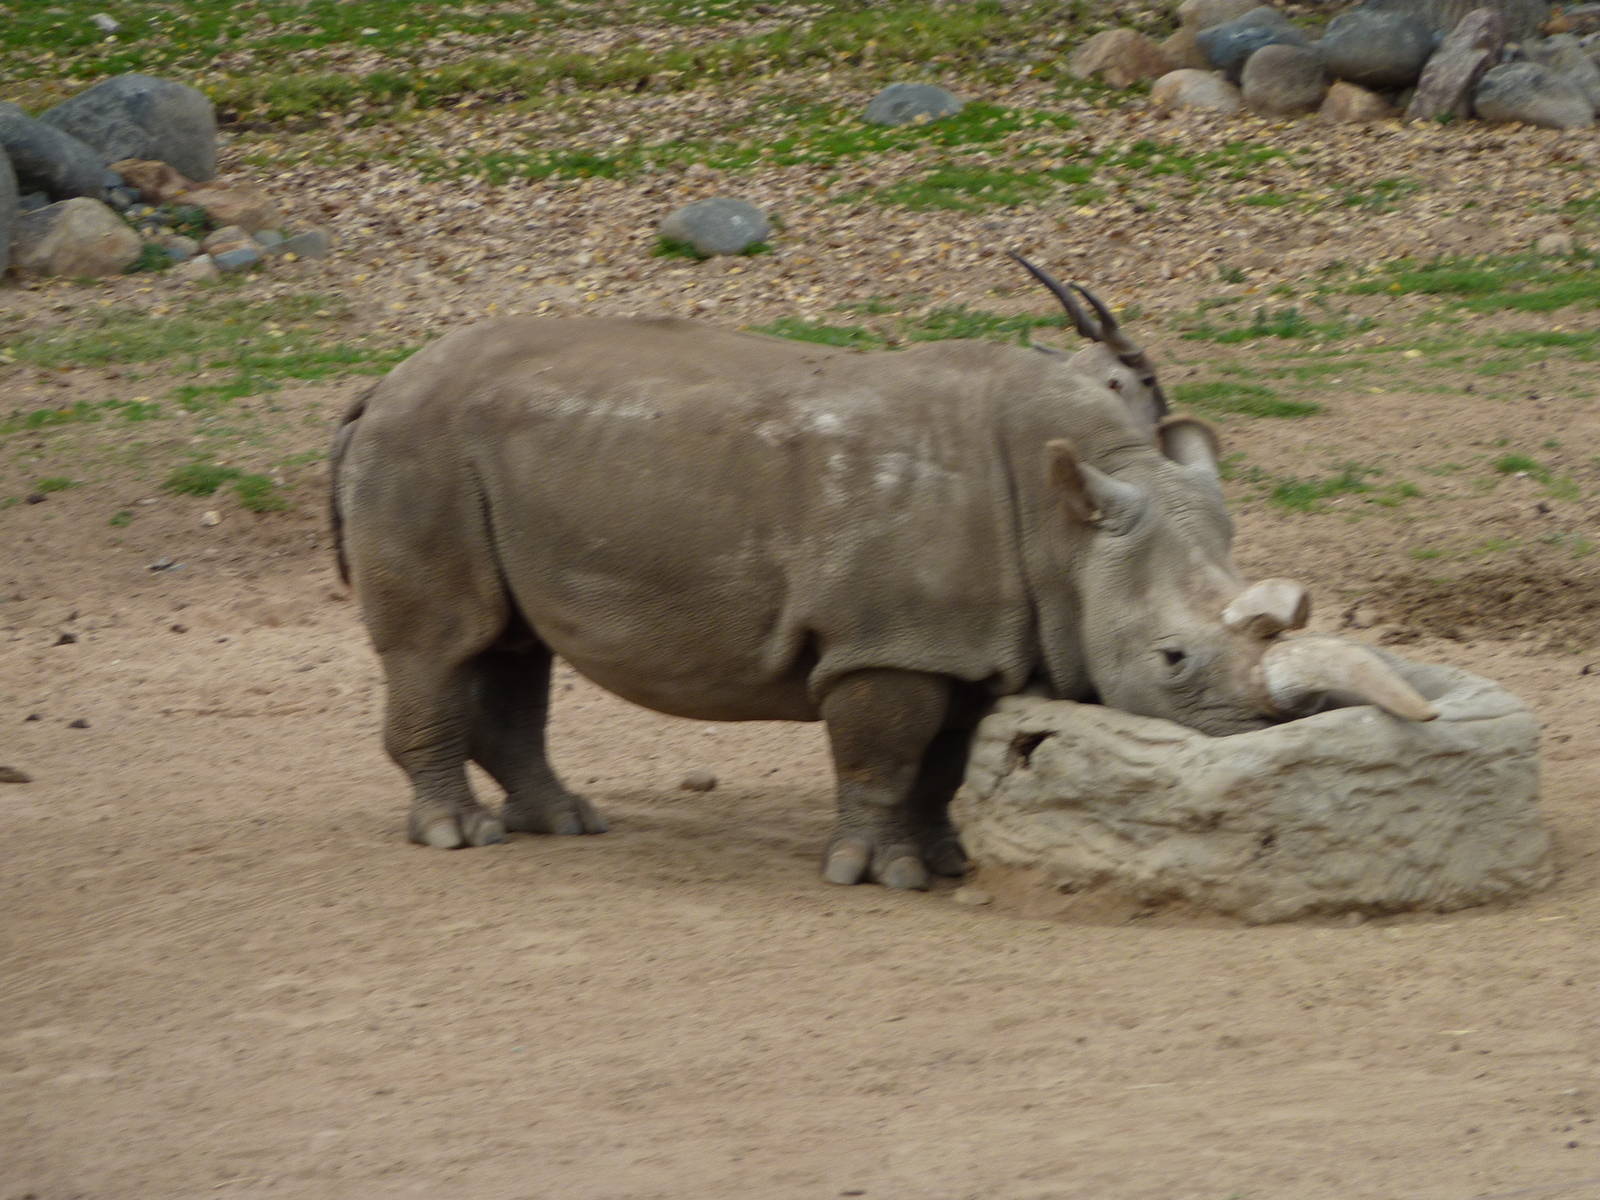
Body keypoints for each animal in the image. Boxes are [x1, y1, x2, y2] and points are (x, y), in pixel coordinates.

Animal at [330, 255, 1433, 890]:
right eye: (1171, 660)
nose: (1263, 727)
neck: (1072, 516)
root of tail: (381, 380)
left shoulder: (967, 641)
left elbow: (942, 762)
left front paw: (943, 860)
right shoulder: (887, 642)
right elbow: (885, 754)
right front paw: (877, 872)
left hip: (484, 452)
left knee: (513, 647)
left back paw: (566, 825)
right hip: (423, 448)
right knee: (439, 643)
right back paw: (459, 838)